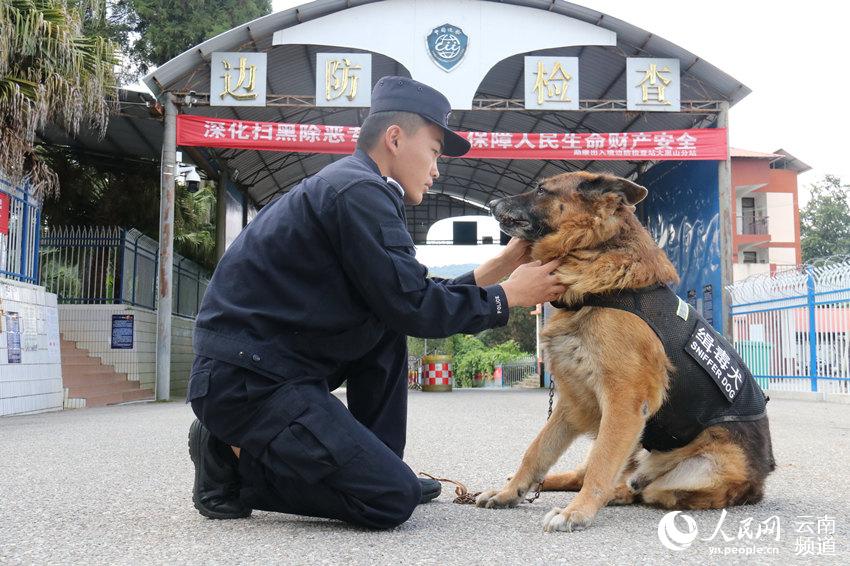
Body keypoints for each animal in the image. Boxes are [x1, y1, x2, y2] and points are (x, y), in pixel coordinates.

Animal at [476, 172, 776, 532]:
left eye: (541, 189)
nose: (492, 203)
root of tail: (760, 482)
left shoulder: (624, 403)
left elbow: (601, 465)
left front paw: (577, 512)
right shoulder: (573, 403)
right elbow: (536, 452)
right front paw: (510, 493)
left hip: (695, 470)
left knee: (640, 488)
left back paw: (615, 493)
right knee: (590, 475)